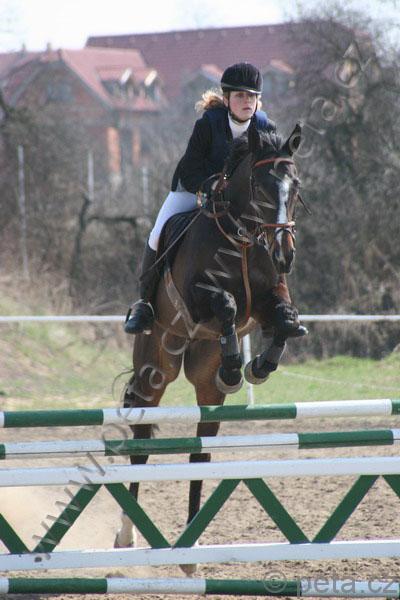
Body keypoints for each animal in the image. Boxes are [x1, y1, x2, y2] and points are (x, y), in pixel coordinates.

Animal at [115, 123, 305, 571]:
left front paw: (255, 367)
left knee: (200, 453)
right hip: (156, 366)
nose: (285, 254)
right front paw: (238, 365)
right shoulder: (201, 300)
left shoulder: (269, 300)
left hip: (204, 384)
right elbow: (227, 304)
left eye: (296, 186)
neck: (243, 237)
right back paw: (127, 535)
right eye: (260, 185)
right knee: (141, 442)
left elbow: (285, 321)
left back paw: (190, 548)